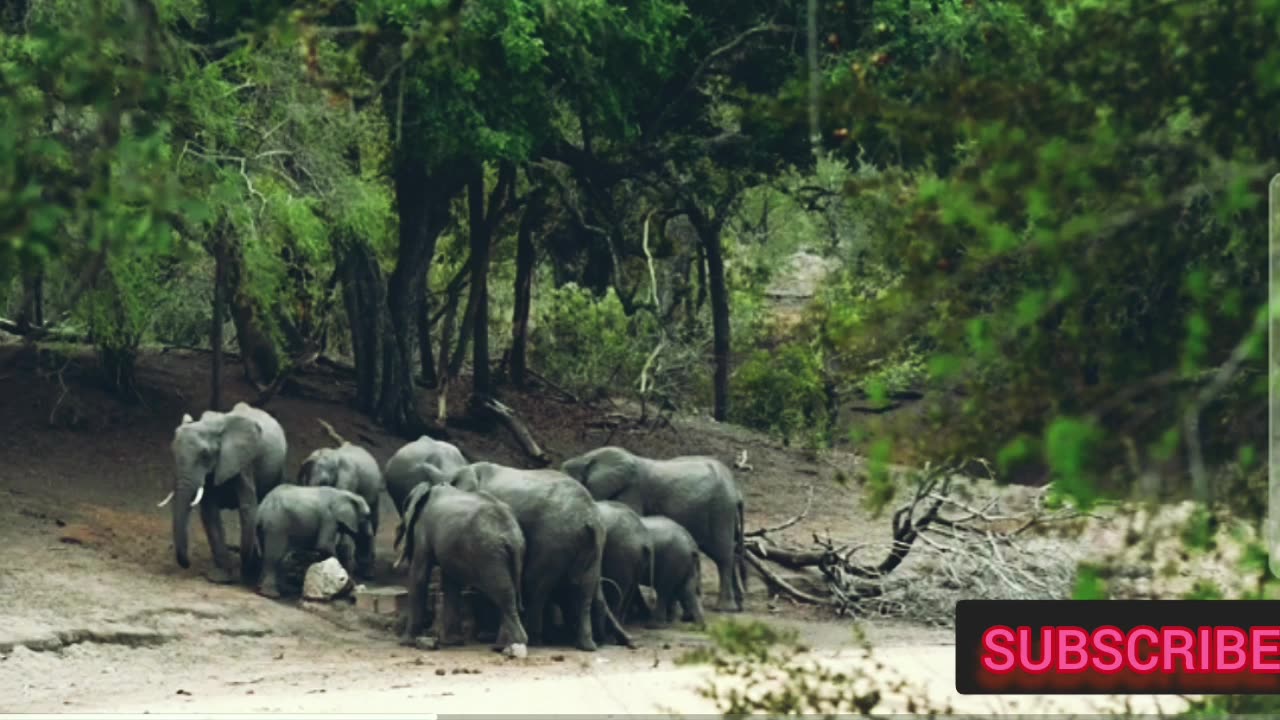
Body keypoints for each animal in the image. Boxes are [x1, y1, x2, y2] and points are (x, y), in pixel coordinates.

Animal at [161, 399, 289, 579]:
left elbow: (248, 509)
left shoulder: (242, 462)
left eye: (205, 455)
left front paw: (246, 572)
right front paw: (221, 577)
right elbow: (210, 512)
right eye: (173, 452)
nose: (186, 564)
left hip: (278, 469)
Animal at [296, 438, 381, 576]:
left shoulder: (348, 479)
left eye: (324, 482)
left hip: (375, 491)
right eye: (304, 478)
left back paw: (367, 572)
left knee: (372, 521)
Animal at [394, 476, 524, 650]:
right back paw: (503, 646)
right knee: (509, 591)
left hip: (489, 552)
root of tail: (511, 534)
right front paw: (452, 642)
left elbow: (419, 576)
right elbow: (451, 582)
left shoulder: (423, 529)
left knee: (502, 592)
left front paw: (405, 642)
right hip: (510, 551)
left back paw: (516, 645)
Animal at [427, 458, 632, 650]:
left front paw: (486, 636)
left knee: (536, 584)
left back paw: (532, 640)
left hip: (553, 539)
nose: (631, 643)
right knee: (584, 588)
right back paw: (586, 645)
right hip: (590, 546)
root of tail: (589, 518)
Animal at [563, 445, 747, 607]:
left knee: (723, 556)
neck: (585, 457)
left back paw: (725, 607)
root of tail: (736, 490)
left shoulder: (632, 491)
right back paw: (738, 603)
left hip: (721, 510)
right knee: (730, 551)